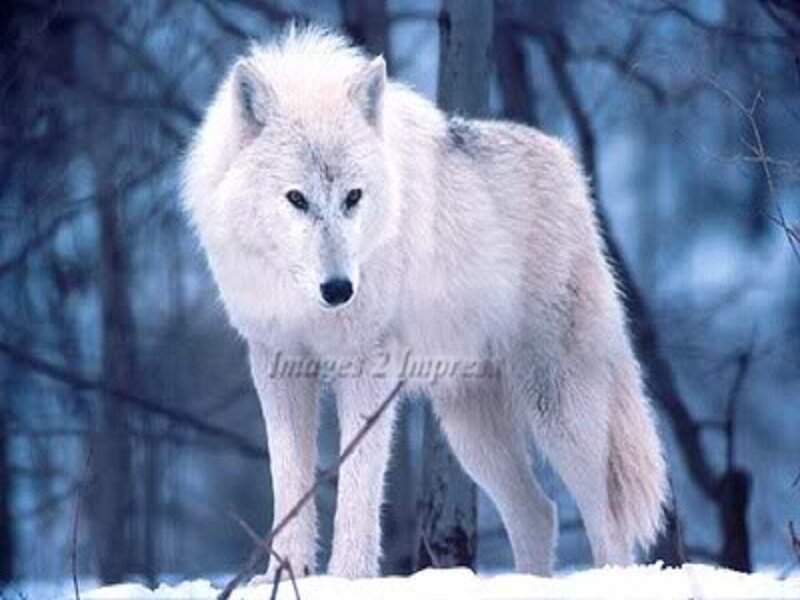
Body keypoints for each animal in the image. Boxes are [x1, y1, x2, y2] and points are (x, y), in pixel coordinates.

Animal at [183, 27, 667, 579]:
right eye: (296, 199)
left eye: (353, 197)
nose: (339, 289)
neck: (305, 301)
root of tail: (571, 171)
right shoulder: (276, 363)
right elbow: (288, 484)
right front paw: (285, 575)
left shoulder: (366, 366)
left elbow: (358, 487)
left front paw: (348, 578)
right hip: (470, 429)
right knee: (539, 512)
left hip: (557, 409)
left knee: (604, 518)